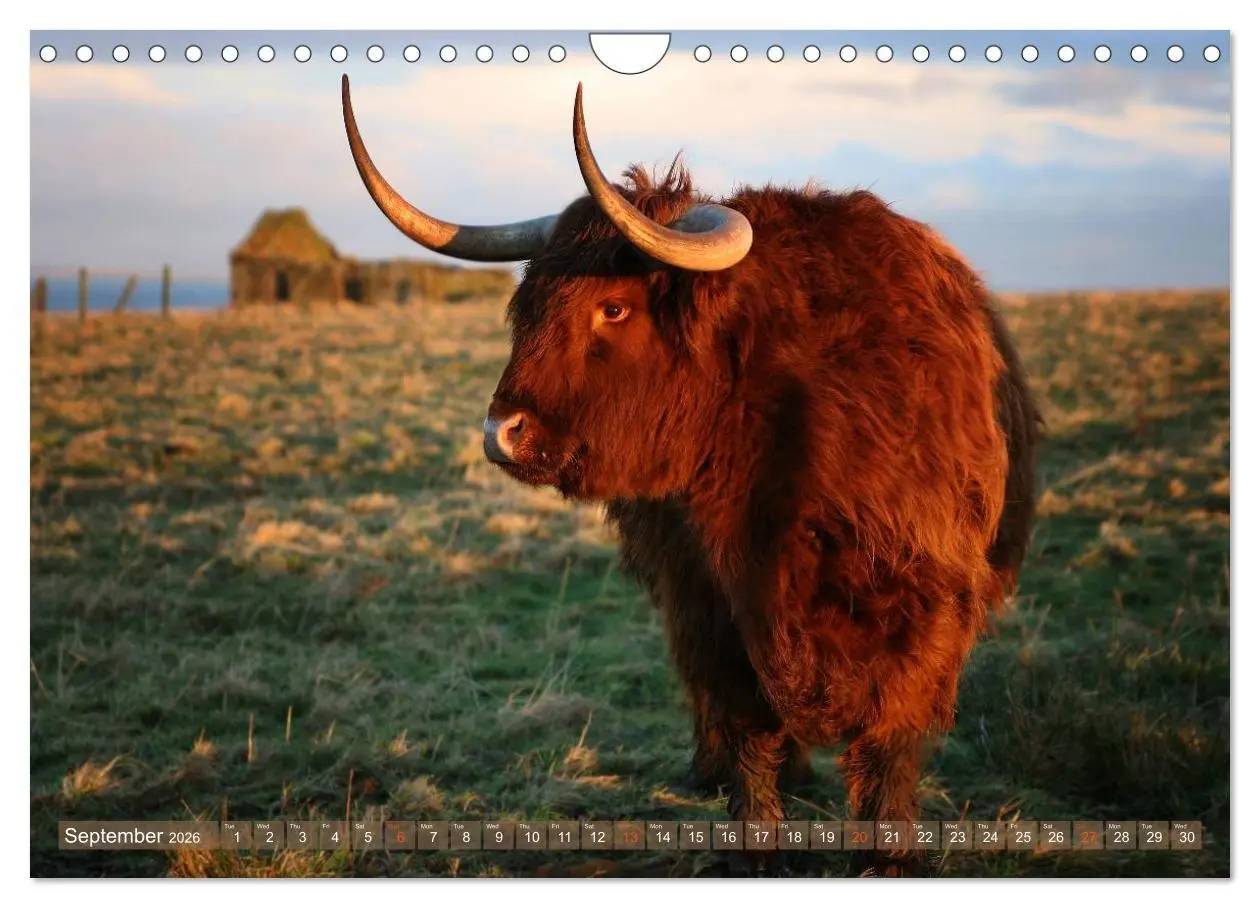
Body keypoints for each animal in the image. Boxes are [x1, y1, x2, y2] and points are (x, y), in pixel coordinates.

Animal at [339, 75, 1041, 876]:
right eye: (527, 307)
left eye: (613, 307)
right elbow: (747, 737)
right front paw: (756, 848)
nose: (503, 434)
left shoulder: (922, 605)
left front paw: (888, 859)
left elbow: (889, 744)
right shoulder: (708, 605)